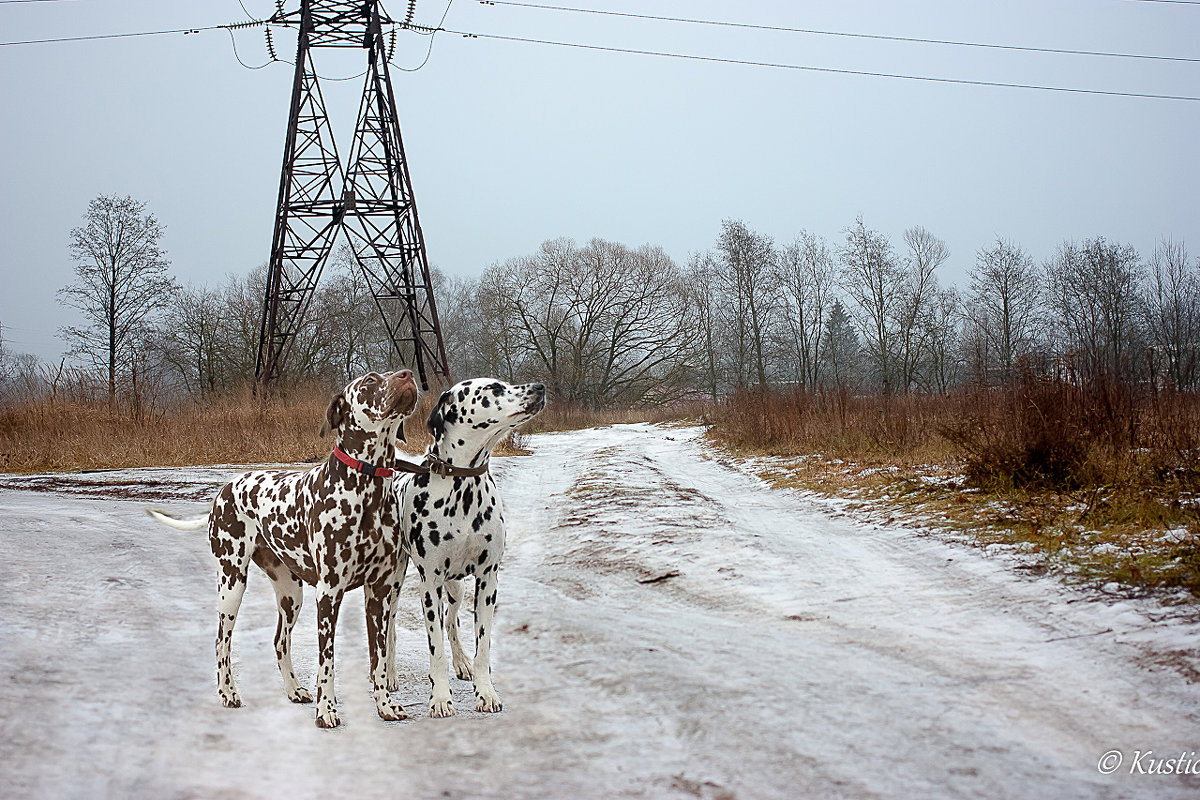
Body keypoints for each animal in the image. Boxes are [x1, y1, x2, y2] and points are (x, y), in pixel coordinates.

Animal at [149, 371, 417, 729]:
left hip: (292, 594)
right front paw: (326, 710)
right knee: (222, 641)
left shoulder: (379, 593)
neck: (367, 490)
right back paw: (228, 692)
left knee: (279, 642)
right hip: (232, 584)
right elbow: (327, 664)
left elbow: (379, 660)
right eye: (370, 381)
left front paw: (385, 705)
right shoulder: (329, 594)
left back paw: (292, 689)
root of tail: (224, 491)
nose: (408, 375)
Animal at [386, 376, 547, 719]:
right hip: (393, 584)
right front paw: (440, 698)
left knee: (451, 621)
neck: (462, 487)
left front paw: (485, 691)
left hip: (456, 587)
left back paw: (461, 662)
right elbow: (435, 650)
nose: (540, 387)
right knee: (389, 628)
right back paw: (389, 673)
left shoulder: (488, 580)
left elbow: (482, 647)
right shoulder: (430, 584)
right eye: (494, 389)